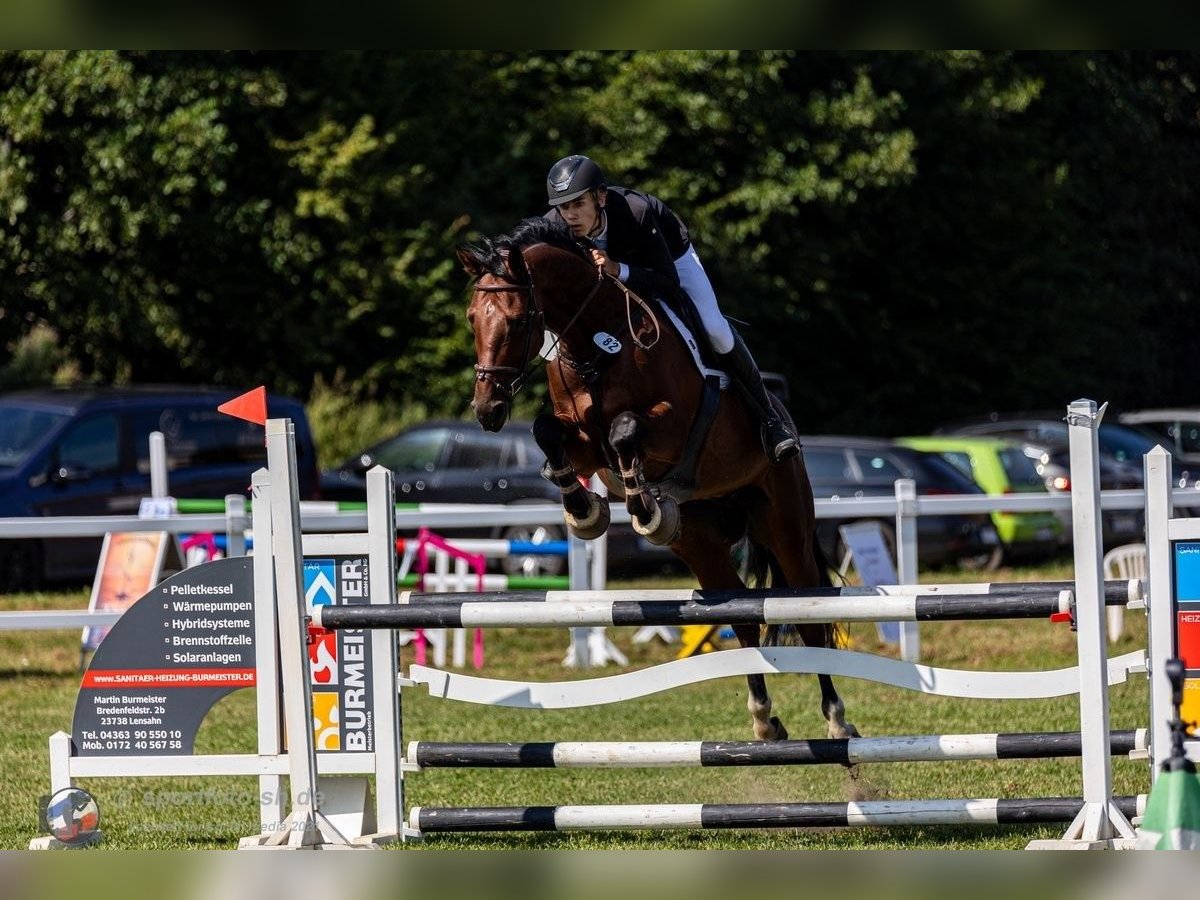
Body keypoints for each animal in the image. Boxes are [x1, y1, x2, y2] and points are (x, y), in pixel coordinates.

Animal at [453, 214, 859, 744]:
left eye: (519, 320)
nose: (488, 410)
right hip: (703, 545)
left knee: (808, 617)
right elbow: (547, 431)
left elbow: (625, 429)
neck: (596, 345)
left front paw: (643, 508)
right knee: (742, 619)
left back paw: (836, 718)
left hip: (785, 523)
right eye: (471, 318)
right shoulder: (583, 443)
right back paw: (764, 719)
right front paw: (586, 511)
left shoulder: (672, 427)